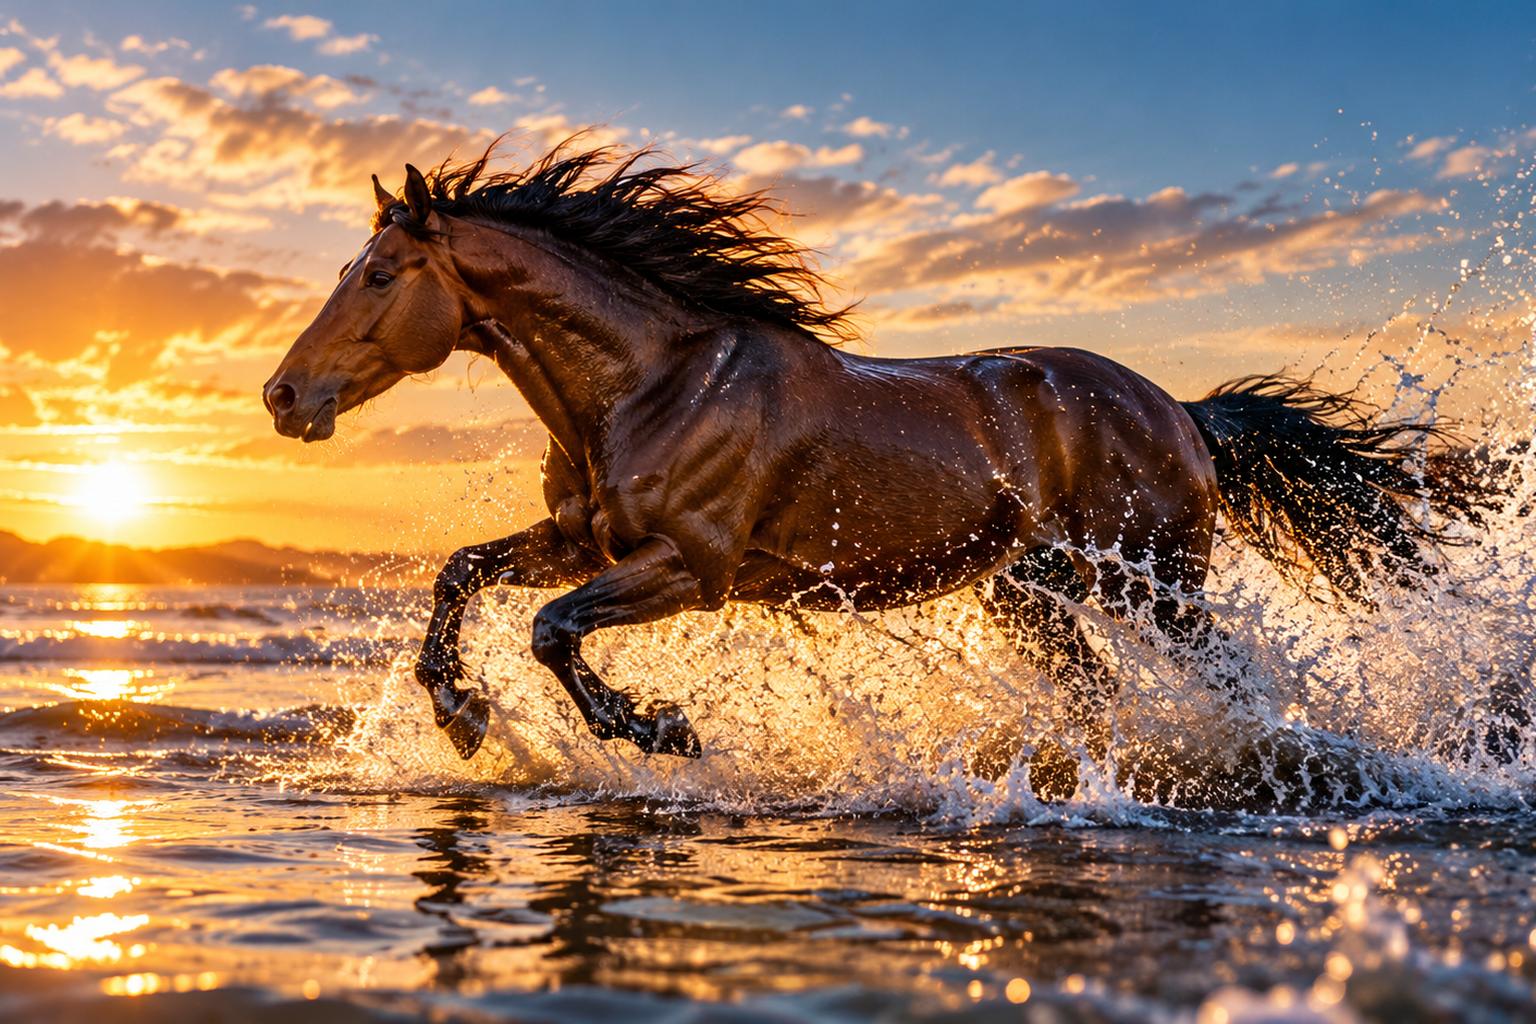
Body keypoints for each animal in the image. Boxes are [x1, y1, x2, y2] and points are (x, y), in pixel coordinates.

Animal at [262, 144, 1481, 795]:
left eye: (379, 275)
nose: (283, 396)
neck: (650, 382)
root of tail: (1178, 408)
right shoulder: (580, 540)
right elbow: (464, 575)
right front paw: (459, 716)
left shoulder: (691, 568)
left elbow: (552, 629)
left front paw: (659, 728)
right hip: (1035, 596)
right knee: (1093, 695)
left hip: (1154, 581)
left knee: (1230, 680)